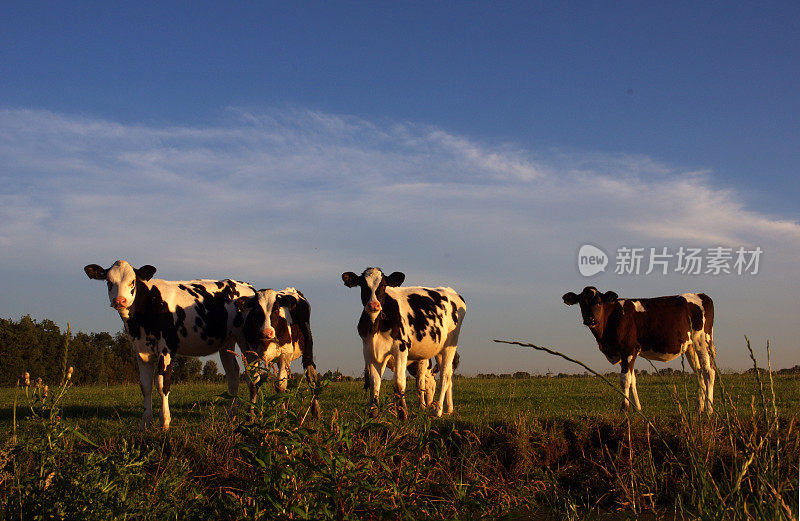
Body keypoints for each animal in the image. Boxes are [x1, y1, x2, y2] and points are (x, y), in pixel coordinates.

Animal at [85, 258, 255, 428]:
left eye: (132, 282)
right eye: (109, 282)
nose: (119, 300)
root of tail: (246, 285)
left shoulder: (167, 348)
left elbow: (162, 384)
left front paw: (164, 421)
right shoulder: (141, 351)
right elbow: (145, 386)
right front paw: (145, 423)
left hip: (247, 341)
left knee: (253, 376)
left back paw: (251, 417)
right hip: (227, 342)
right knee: (233, 375)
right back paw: (230, 417)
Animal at [233, 286, 320, 416]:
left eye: (276, 308)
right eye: (256, 310)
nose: (266, 332)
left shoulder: (284, 355)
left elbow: (280, 385)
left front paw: (282, 415)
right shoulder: (250, 355)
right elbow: (254, 384)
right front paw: (251, 416)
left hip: (307, 346)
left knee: (310, 375)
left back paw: (316, 411)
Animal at [340, 268, 466, 418]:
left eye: (383, 285)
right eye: (363, 285)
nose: (373, 305)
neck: (376, 325)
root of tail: (450, 290)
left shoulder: (401, 347)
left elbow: (400, 382)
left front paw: (402, 413)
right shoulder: (369, 350)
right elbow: (374, 382)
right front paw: (373, 414)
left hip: (451, 343)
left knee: (445, 376)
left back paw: (438, 410)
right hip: (439, 349)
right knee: (449, 376)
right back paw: (449, 409)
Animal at [564, 286, 720, 412]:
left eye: (598, 302)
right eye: (581, 302)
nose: (590, 319)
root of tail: (701, 295)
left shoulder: (628, 350)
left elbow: (625, 379)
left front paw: (624, 408)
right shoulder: (624, 354)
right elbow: (633, 379)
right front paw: (637, 408)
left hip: (702, 341)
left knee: (709, 371)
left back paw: (709, 409)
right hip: (690, 347)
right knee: (699, 372)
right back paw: (698, 408)